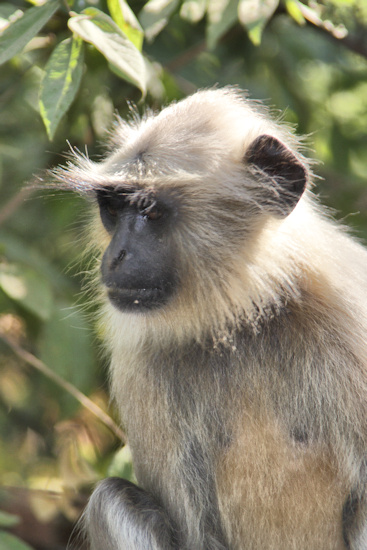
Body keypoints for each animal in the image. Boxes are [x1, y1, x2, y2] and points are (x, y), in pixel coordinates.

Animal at [48, 88, 367, 548]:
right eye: (113, 208)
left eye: (151, 212)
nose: (117, 255)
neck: (246, 321)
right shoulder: (141, 368)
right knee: (111, 497)